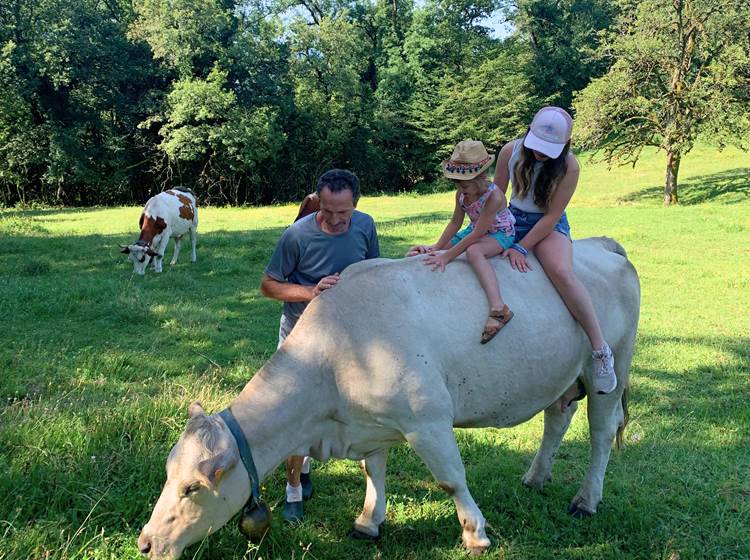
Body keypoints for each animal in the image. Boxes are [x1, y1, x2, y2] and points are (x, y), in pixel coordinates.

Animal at [137, 236, 640, 560]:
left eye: (192, 487)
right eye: (166, 475)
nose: (145, 542)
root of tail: (600, 244)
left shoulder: (428, 419)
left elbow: (451, 479)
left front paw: (476, 534)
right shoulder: (368, 424)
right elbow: (373, 472)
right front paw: (368, 522)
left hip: (609, 368)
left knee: (600, 435)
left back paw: (585, 501)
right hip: (562, 375)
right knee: (557, 417)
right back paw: (535, 477)